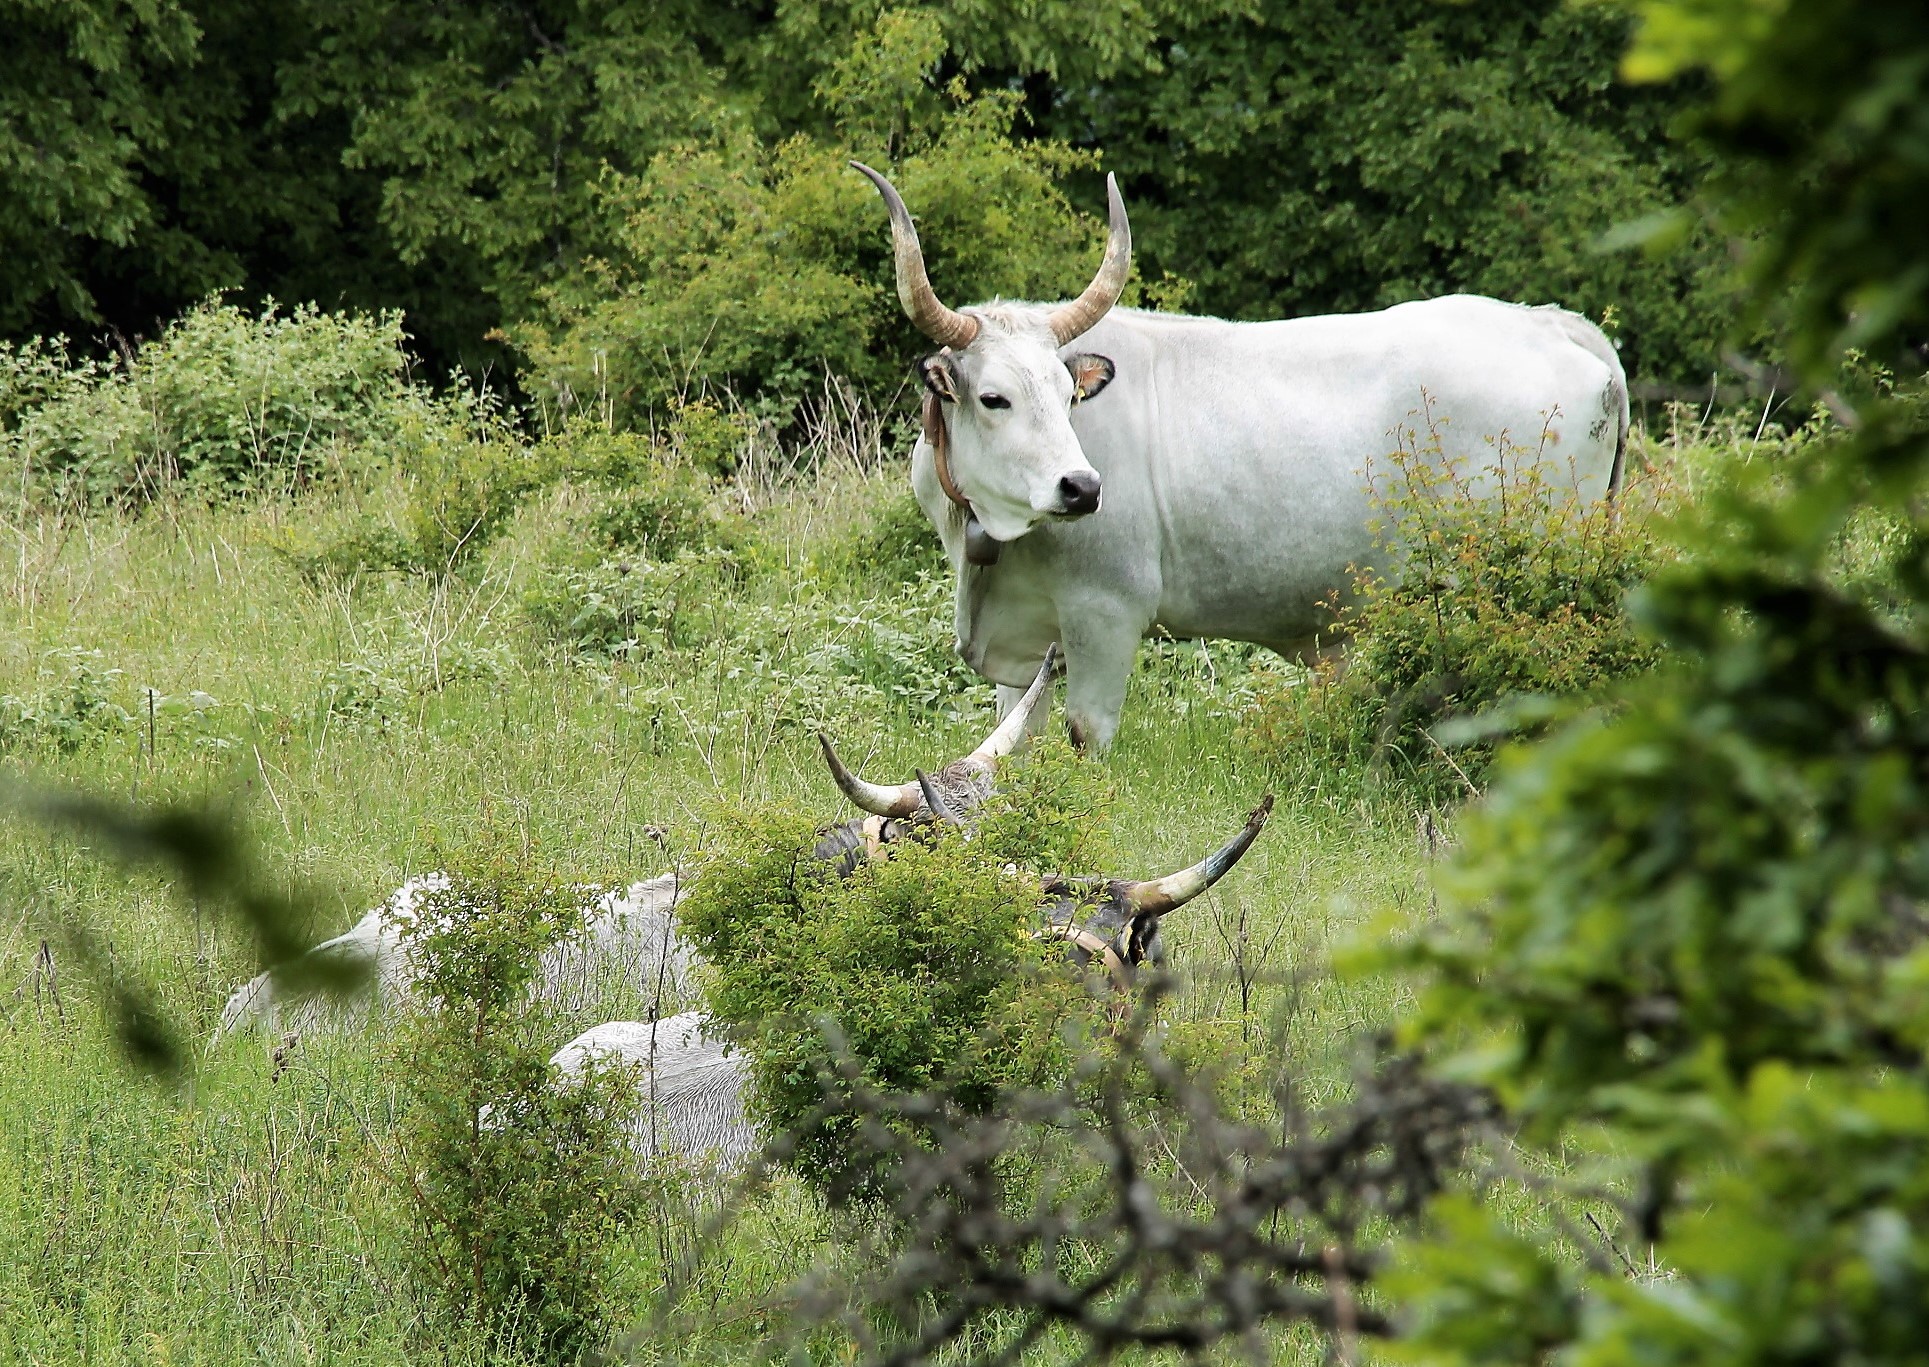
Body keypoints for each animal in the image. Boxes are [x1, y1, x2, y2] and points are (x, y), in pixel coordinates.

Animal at [851, 162, 1629, 752]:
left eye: (1068, 395)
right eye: (994, 398)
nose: (1081, 488)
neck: (989, 543)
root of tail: (1550, 323)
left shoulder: (1107, 612)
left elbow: (1085, 734)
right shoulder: (1027, 643)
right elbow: (1013, 738)